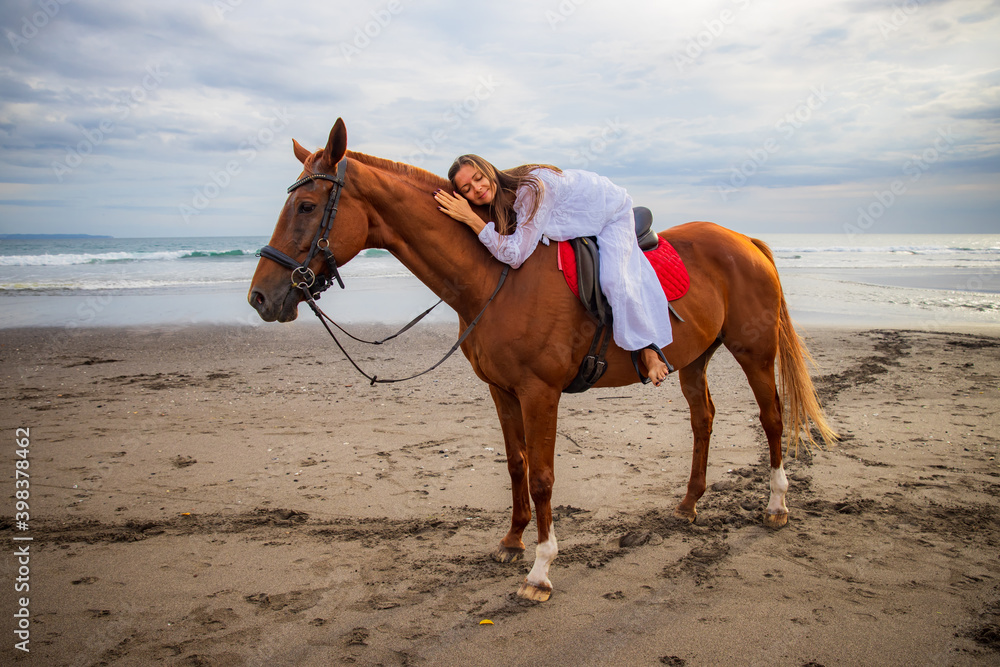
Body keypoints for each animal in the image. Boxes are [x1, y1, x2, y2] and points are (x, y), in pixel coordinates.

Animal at [248, 118, 837, 602]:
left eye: (306, 207)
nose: (260, 298)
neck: (497, 276)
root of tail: (744, 240)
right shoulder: (502, 390)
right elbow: (516, 464)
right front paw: (512, 541)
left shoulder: (540, 393)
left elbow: (543, 476)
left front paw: (540, 570)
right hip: (694, 360)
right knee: (704, 420)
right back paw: (689, 504)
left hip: (754, 352)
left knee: (772, 418)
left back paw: (776, 506)